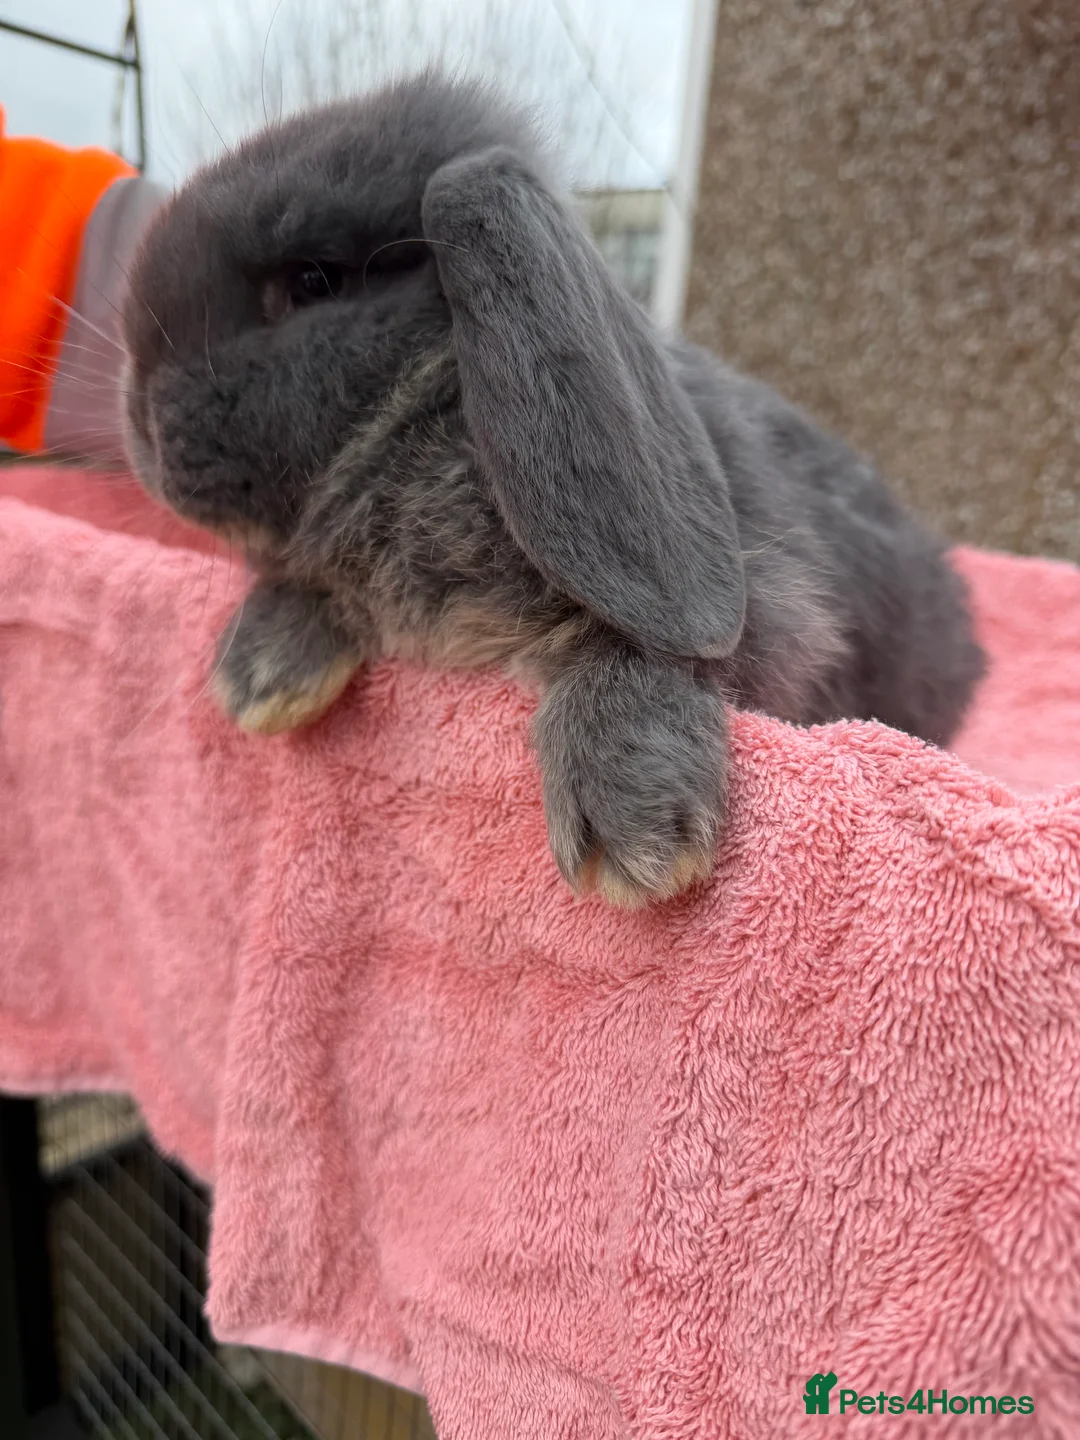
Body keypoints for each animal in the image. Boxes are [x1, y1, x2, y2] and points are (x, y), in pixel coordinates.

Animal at [120, 71, 986, 909]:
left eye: (312, 281)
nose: (143, 428)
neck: (422, 423)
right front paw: (259, 675)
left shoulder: (759, 610)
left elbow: (641, 649)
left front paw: (632, 823)